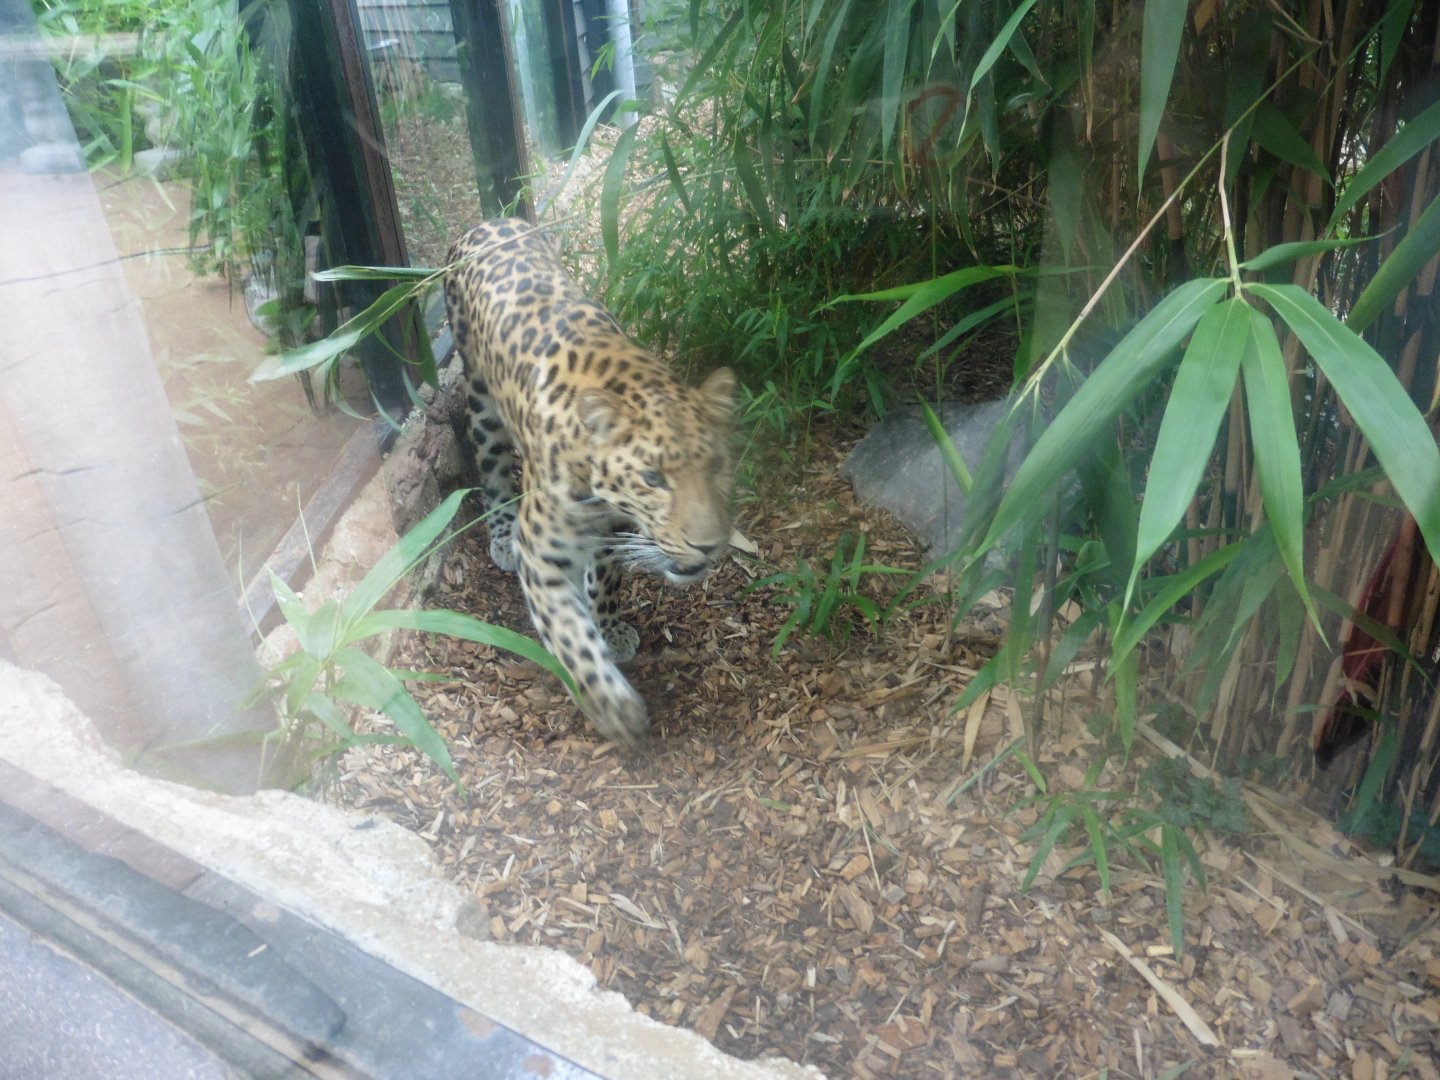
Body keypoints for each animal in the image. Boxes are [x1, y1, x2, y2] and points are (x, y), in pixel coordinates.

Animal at [443, 218, 737, 745]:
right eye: (653, 478)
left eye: (718, 466)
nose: (707, 545)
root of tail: (489, 221)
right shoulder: (540, 554)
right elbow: (567, 634)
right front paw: (611, 704)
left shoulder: (611, 528)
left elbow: (607, 577)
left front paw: (610, 626)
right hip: (481, 405)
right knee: (492, 475)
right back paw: (499, 537)